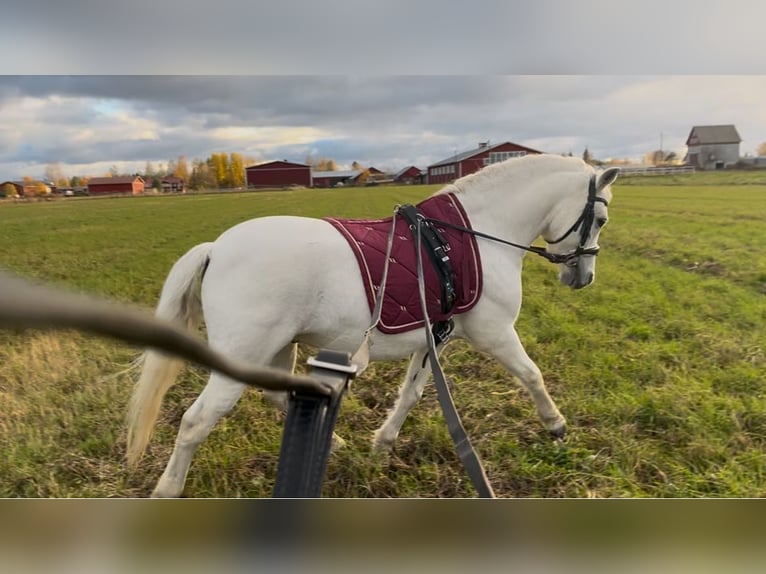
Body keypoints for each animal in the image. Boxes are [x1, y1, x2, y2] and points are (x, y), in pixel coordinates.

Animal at [126, 154, 619, 497]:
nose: (583, 277)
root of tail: (216, 248)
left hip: (277, 349)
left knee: (277, 393)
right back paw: (168, 489)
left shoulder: (434, 339)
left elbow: (412, 394)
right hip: (241, 357)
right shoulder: (494, 334)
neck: (477, 236)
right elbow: (531, 374)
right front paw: (555, 424)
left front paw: (382, 444)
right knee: (195, 422)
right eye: (600, 218)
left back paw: (338, 444)